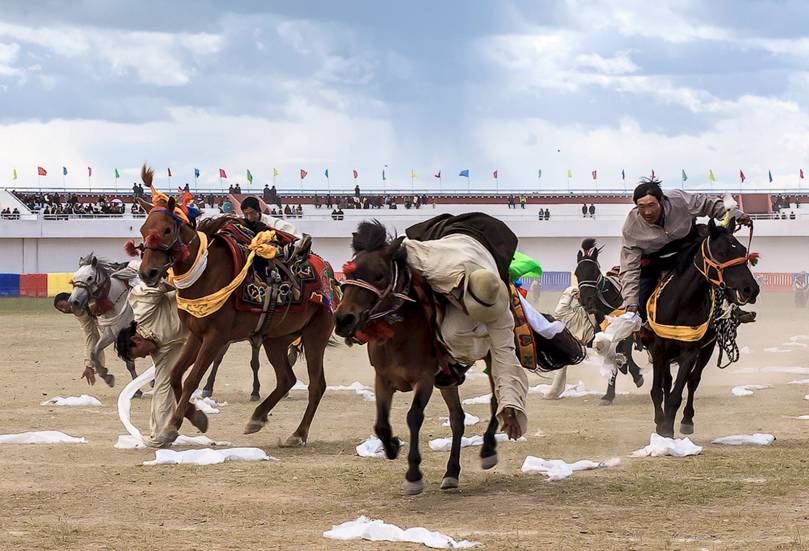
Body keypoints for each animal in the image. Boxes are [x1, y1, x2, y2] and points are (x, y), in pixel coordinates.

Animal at [69, 254, 140, 388]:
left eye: (90, 277)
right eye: (74, 278)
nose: (73, 301)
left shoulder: (127, 335)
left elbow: (130, 364)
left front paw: (138, 388)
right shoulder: (110, 334)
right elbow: (94, 351)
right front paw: (107, 376)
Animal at [133, 165, 334, 448]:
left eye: (167, 230)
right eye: (143, 229)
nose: (148, 273)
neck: (206, 274)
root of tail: (328, 272)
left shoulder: (215, 337)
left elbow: (192, 379)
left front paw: (172, 428)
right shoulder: (197, 334)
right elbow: (175, 375)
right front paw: (197, 418)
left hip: (316, 335)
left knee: (316, 385)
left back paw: (298, 434)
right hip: (276, 339)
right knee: (287, 378)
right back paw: (257, 418)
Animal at [332, 223, 498, 496]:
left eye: (379, 275)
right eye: (348, 274)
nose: (344, 320)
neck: (398, 336)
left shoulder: (424, 379)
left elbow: (414, 417)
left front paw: (413, 474)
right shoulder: (383, 378)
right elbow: (381, 423)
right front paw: (391, 446)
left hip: (493, 357)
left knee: (497, 401)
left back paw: (488, 449)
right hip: (448, 379)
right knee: (457, 418)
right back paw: (451, 472)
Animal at [576, 239, 644, 404]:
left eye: (594, 271)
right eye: (577, 273)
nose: (586, 301)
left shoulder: (626, 335)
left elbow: (623, 354)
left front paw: (635, 375)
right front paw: (609, 394)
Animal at [644, 218, 756, 438]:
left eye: (741, 249)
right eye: (722, 252)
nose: (751, 289)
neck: (679, 303)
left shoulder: (690, 351)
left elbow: (677, 393)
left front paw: (668, 429)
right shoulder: (658, 349)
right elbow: (657, 391)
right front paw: (660, 424)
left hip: (707, 348)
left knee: (693, 381)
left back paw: (687, 420)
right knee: (667, 383)